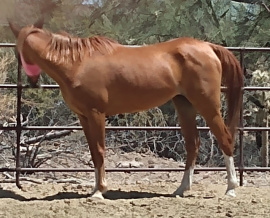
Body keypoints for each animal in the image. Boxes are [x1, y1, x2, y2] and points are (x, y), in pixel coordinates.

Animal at [9, 19, 244, 199]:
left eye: (18, 51)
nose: (31, 82)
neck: (76, 64)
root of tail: (208, 47)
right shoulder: (83, 117)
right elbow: (93, 153)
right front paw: (95, 190)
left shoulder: (96, 114)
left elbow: (100, 151)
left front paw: (99, 191)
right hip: (184, 105)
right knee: (192, 144)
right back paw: (181, 189)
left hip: (207, 104)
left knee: (225, 139)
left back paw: (231, 189)